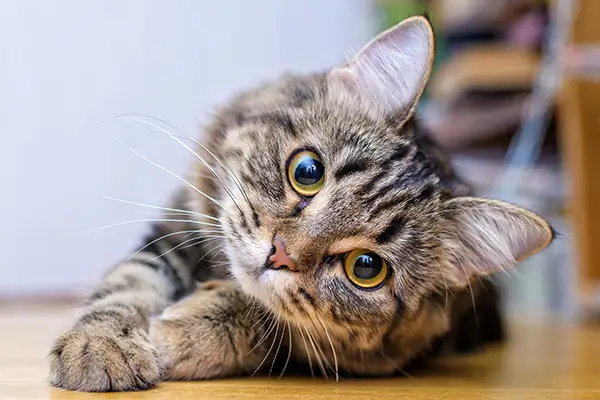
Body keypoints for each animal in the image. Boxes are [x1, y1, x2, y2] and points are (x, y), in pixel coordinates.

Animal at [48, 15, 552, 390]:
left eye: (366, 267)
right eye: (307, 171)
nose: (280, 253)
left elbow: (264, 318)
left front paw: (181, 331)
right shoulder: (175, 233)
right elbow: (127, 286)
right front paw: (100, 347)